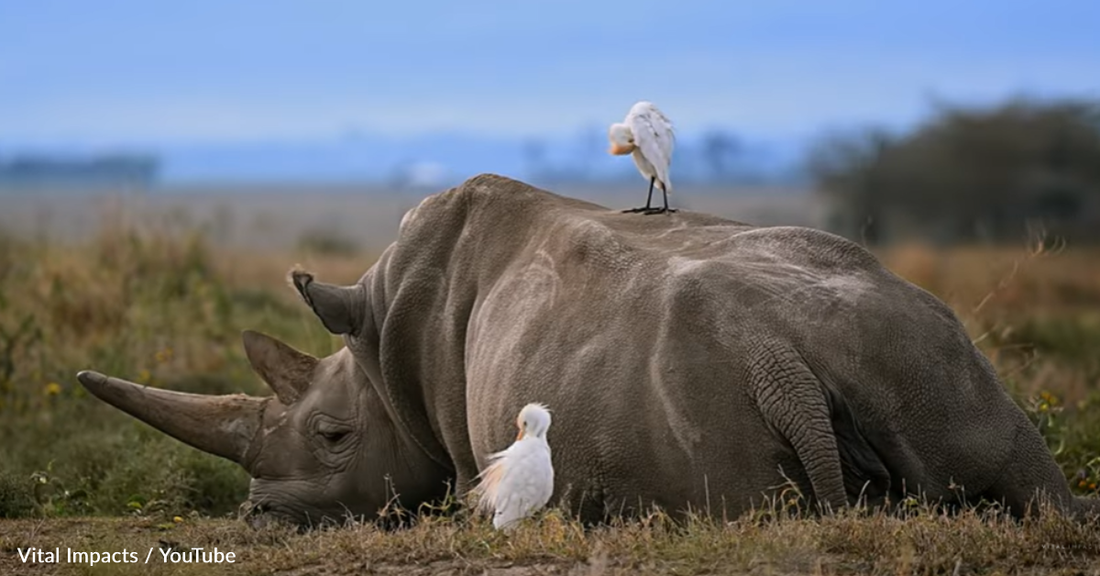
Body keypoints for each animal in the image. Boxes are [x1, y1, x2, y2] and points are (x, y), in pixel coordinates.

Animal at [75, 172, 1091, 525]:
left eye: (332, 438)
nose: (260, 520)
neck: (374, 343)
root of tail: (781, 359)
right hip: (925, 350)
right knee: (1015, 461)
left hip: (697, 396)